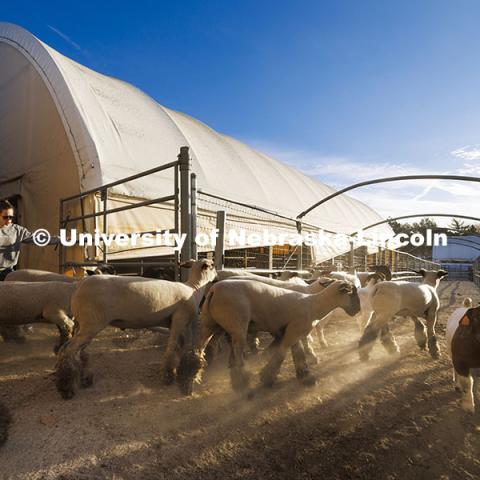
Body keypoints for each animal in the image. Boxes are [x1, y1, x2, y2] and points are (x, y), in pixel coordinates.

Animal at [54, 258, 216, 398]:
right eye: (213, 265)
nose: (216, 276)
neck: (194, 288)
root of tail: (78, 286)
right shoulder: (179, 319)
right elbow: (172, 348)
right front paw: (168, 376)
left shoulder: (180, 324)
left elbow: (182, 347)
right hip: (91, 323)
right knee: (68, 351)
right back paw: (66, 388)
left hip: (82, 323)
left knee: (75, 351)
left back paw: (82, 379)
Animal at [177, 280, 360, 396]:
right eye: (352, 293)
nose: (358, 310)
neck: (314, 305)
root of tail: (214, 291)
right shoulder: (293, 332)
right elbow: (281, 355)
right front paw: (267, 379)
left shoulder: (293, 332)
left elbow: (298, 355)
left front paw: (305, 376)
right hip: (237, 328)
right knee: (237, 362)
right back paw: (244, 389)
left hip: (209, 324)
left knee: (195, 354)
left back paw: (186, 385)